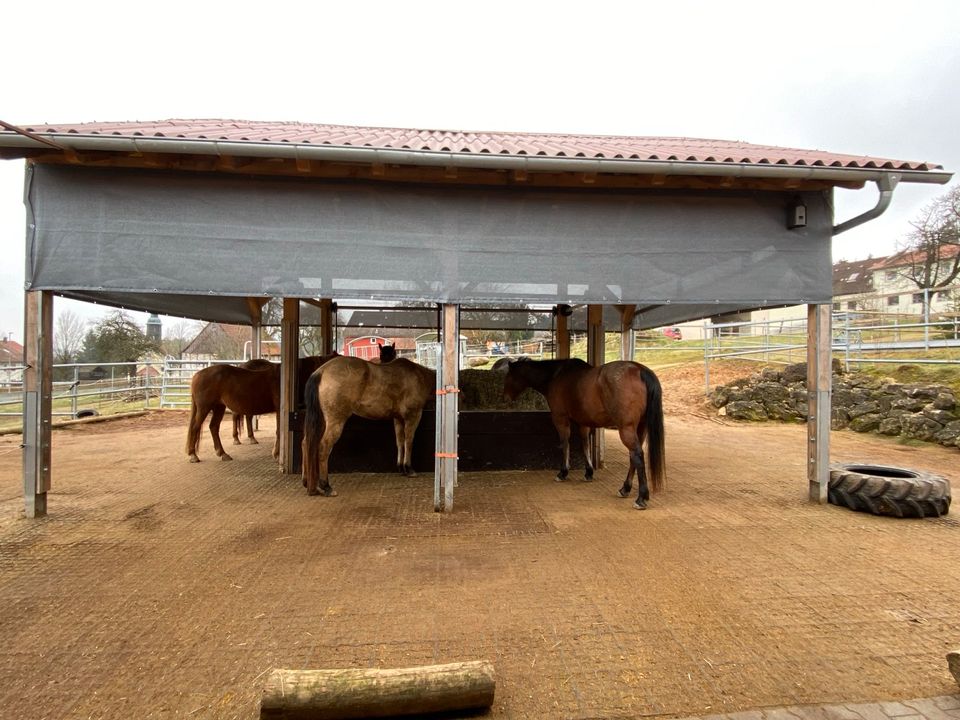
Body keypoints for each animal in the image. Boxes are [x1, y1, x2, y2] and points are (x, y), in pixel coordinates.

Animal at [302, 354, 434, 496]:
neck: (419, 376)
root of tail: (320, 372)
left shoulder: (398, 419)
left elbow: (400, 442)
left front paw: (401, 467)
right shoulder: (413, 416)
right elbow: (409, 441)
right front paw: (409, 469)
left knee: (305, 443)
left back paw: (307, 482)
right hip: (335, 421)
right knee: (324, 446)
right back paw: (326, 486)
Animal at [502, 358, 668, 510]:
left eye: (508, 377)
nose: (505, 398)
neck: (556, 376)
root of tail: (639, 369)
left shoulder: (560, 419)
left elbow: (565, 443)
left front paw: (563, 473)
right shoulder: (584, 422)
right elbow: (585, 443)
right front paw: (588, 472)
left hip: (626, 429)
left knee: (637, 455)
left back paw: (641, 498)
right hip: (641, 428)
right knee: (633, 457)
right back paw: (625, 489)